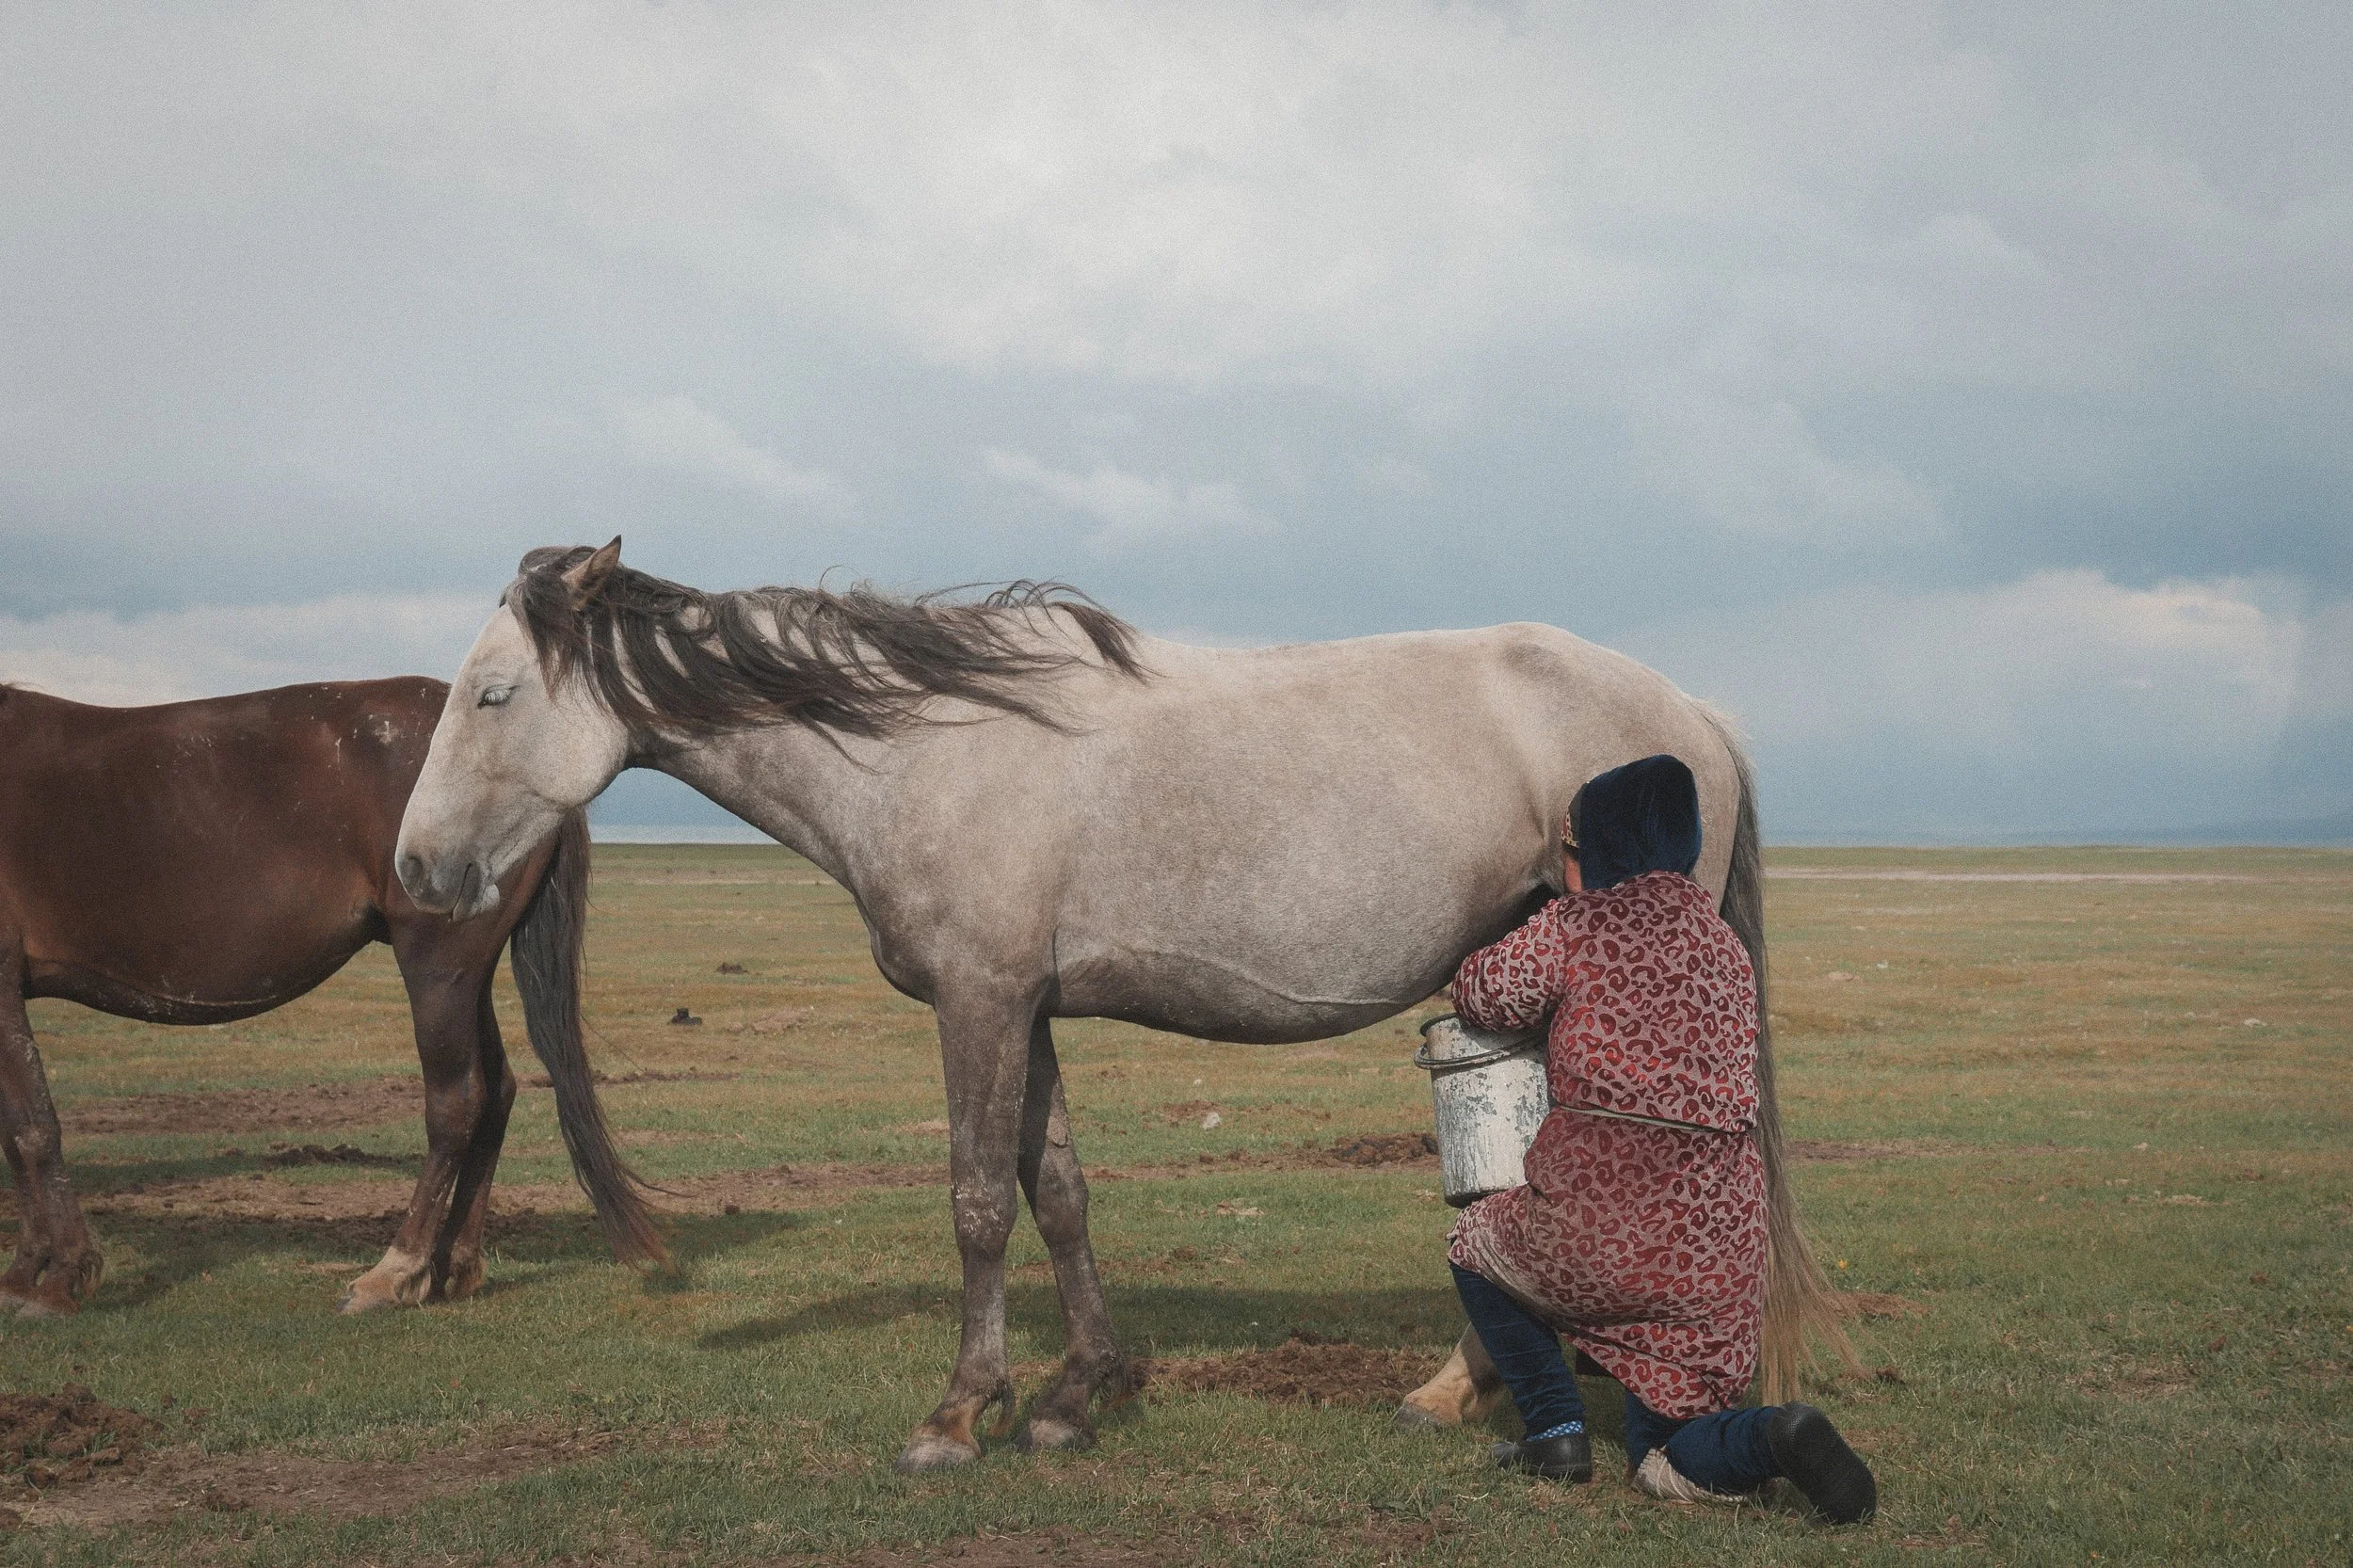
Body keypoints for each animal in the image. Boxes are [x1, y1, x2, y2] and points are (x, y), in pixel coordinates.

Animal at [0, 677, 663, 1319]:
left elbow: (34, 1130)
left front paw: (58, 1277)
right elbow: (15, 1134)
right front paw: (24, 1272)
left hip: (437, 967)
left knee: (457, 1102)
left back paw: (394, 1272)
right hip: (467, 976)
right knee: (496, 1092)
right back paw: (451, 1265)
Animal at [394, 539, 1851, 1472]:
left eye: (493, 693)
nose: (418, 869)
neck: (918, 746)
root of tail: (1691, 709)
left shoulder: (979, 1002)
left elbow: (979, 1201)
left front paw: (960, 1413)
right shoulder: (1023, 1005)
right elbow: (1057, 1191)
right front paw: (1073, 1395)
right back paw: (1456, 1390)